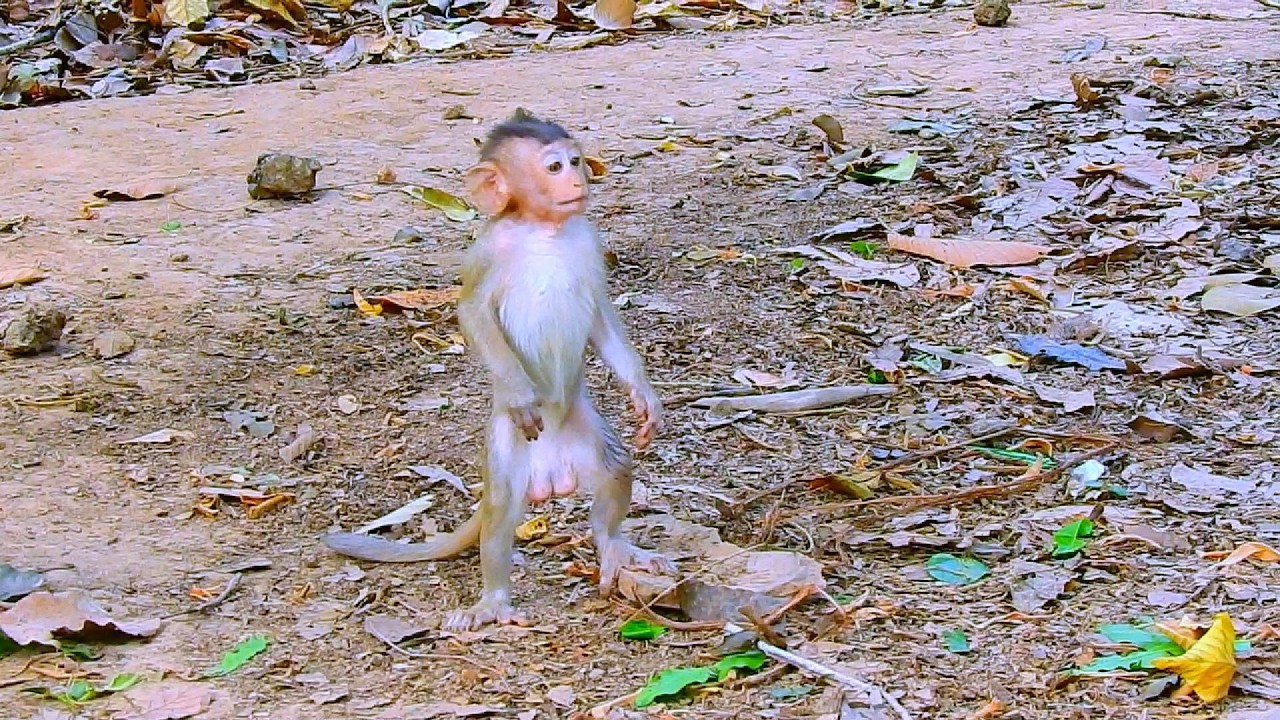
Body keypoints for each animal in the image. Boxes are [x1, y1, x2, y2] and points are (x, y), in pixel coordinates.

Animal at [323, 110, 675, 632]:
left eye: (574, 160)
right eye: (553, 167)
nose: (577, 179)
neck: (543, 229)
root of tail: (554, 471)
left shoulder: (589, 239)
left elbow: (599, 314)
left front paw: (643, 395)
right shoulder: (488, 249)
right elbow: (472, 313)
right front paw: (518, 391)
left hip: (584, 430)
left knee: (615, 467)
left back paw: (612, 546)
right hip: (508, 447)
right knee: (501, 504)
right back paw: (493, 599)